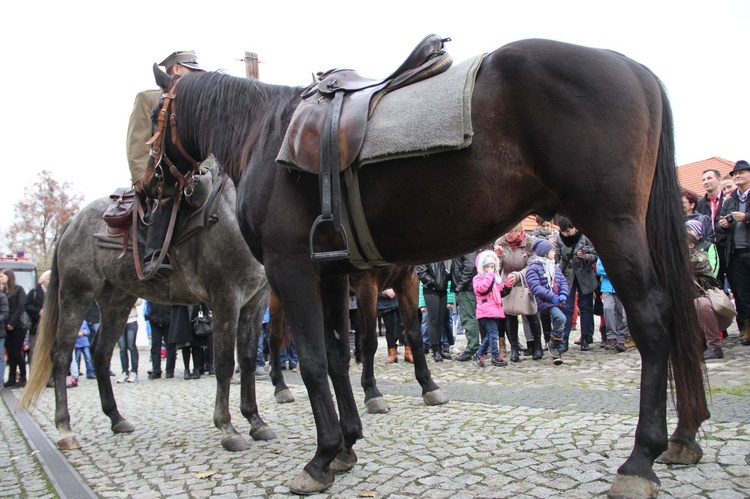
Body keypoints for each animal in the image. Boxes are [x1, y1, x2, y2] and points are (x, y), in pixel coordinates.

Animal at [19, 171, 274, 454]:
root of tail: (73, 223)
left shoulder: (255, 303)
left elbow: (248, 361)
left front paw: (255, 421)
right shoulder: (225, 299)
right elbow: (226, 365)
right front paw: (227, 428)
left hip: (117, 301)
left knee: (101, 353)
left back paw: (116, 418)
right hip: (76, 294)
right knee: (61, 355)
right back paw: (65, 429)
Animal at [151, 39, 712, 499]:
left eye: (154, 111)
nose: (154, 184)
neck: (266, 137)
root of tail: (633, 69)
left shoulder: (294, 269)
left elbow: (315, 360)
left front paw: (321, 457)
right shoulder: (331, 274)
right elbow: (337, 357)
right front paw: (347, 445)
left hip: (612, 224)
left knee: (654, 319)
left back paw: (641, 459)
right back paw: (684, 436)